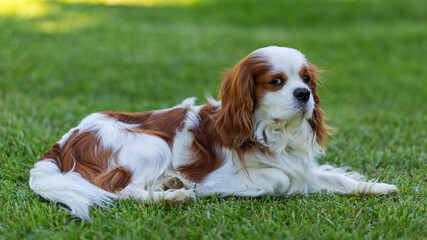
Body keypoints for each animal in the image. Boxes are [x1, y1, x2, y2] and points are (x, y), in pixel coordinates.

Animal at [29, 45, 398, 219]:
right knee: (121, 190)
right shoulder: (216, 175)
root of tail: (63, 142)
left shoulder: (300, 167)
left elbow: (333, 178)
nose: (304, 94)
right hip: (151, 145)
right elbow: (279, 179)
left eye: (306, 79)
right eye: (276, 81)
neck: (270, 131)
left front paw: (376, 187)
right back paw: (173, 194)